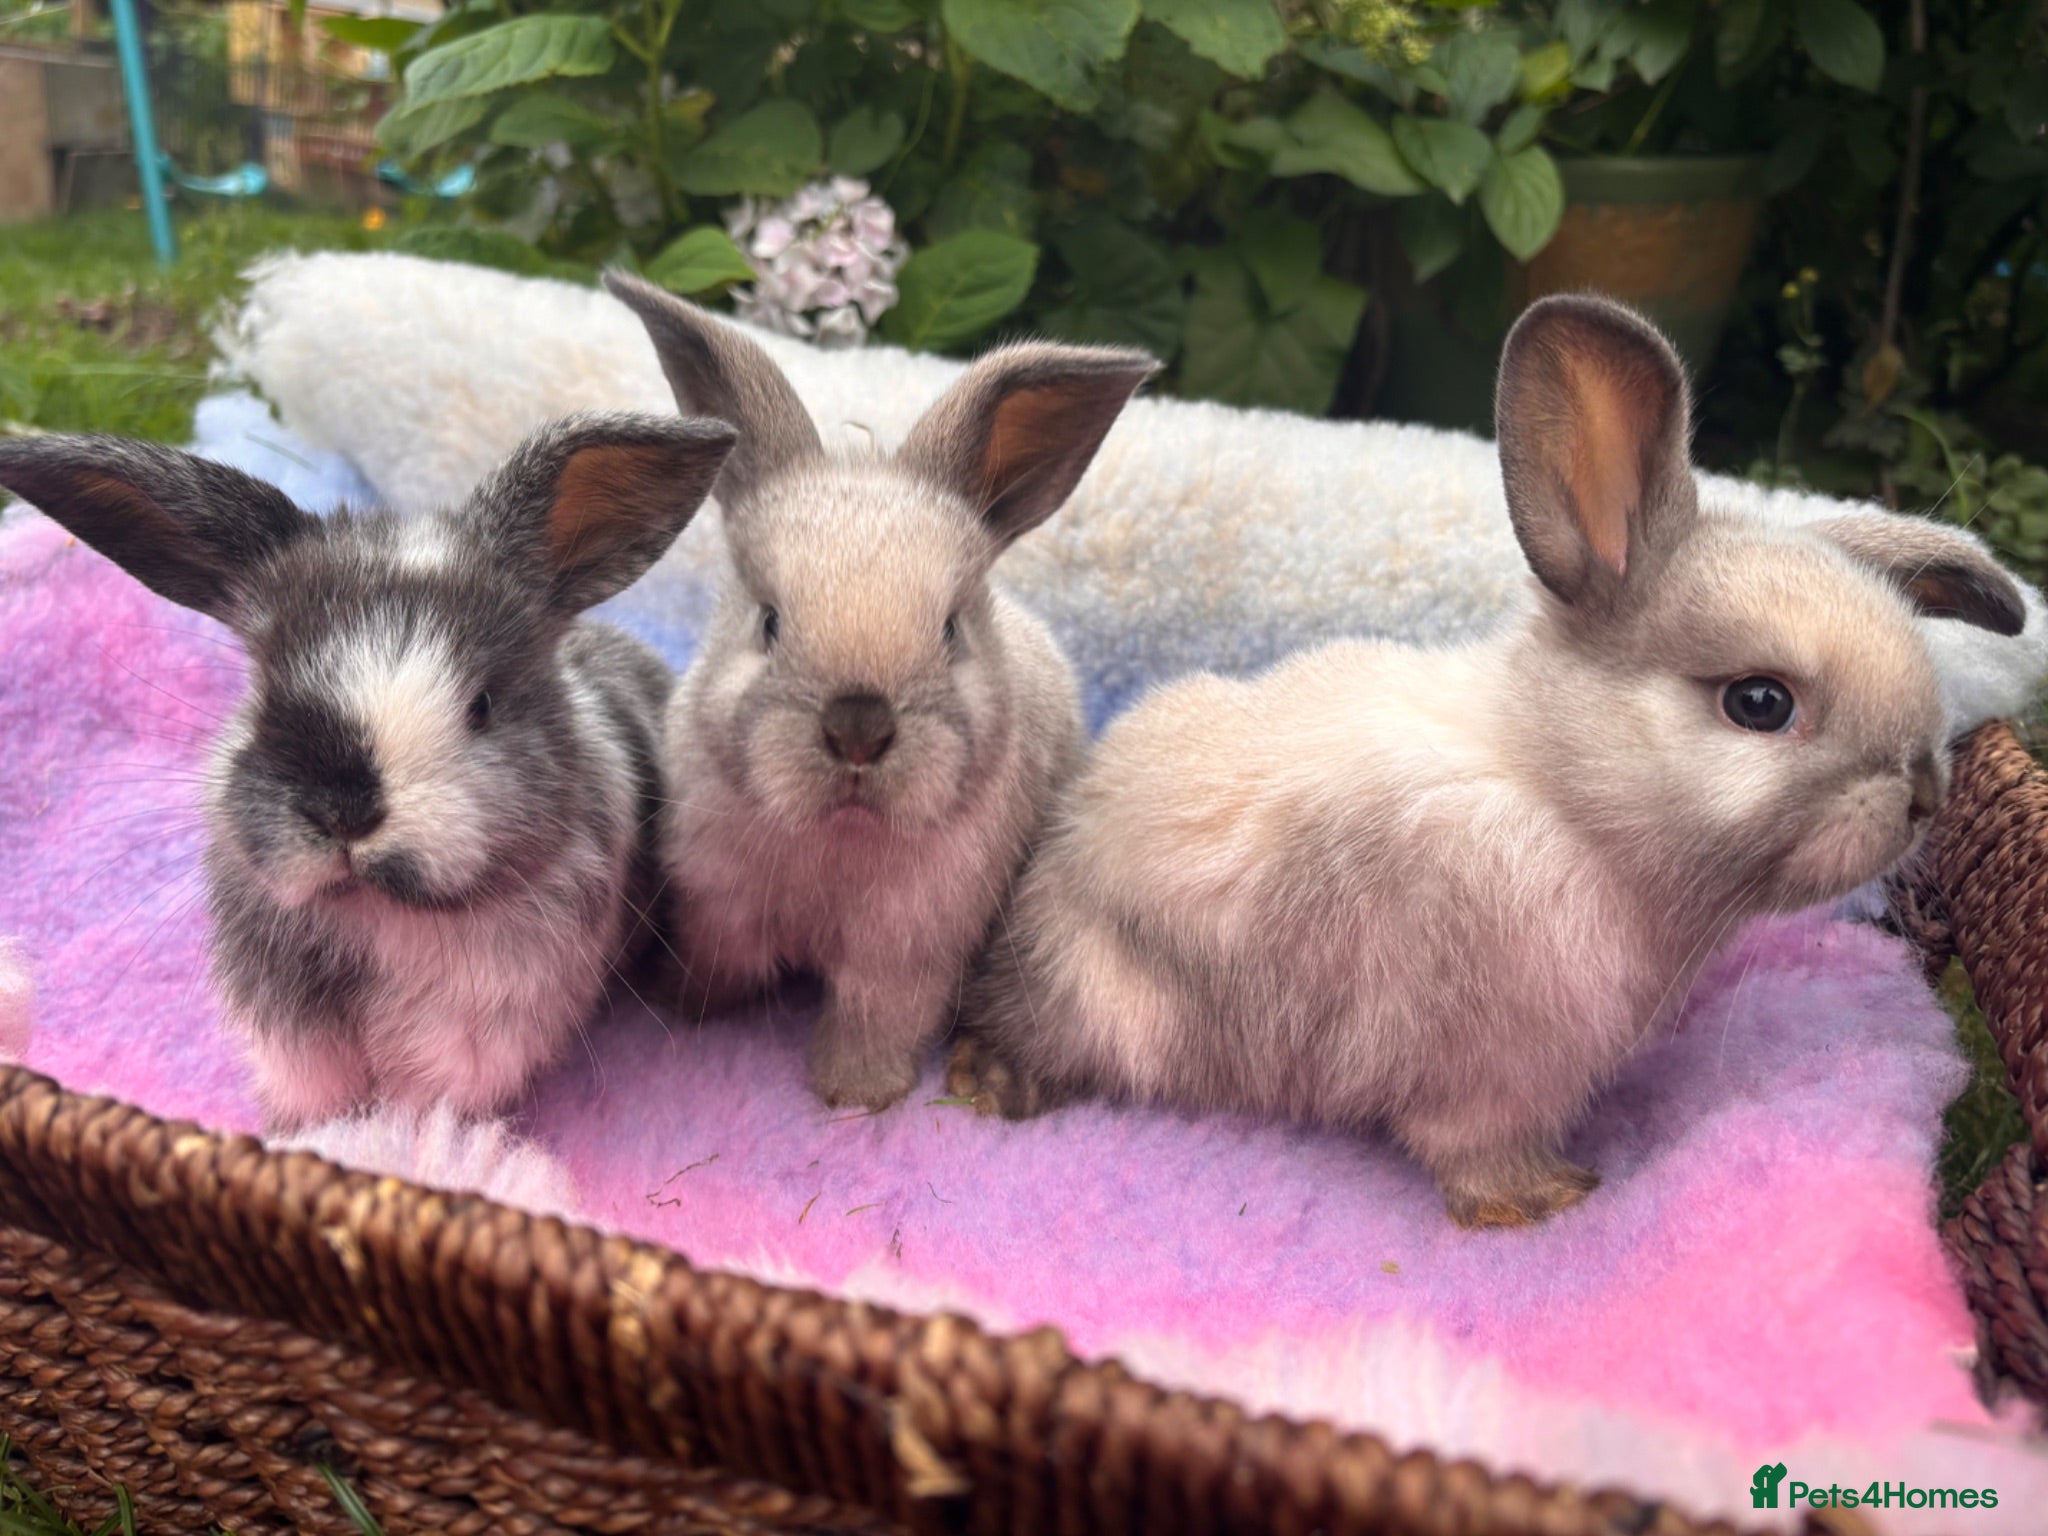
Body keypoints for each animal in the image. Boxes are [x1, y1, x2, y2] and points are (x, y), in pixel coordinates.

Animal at [0, 412, 736, 1129]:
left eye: (482, 705)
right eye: (265, 691)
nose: (343, 812)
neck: (376, 915)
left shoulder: (468, 1040)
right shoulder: (292, 1037)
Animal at [603, 270, 1156, 1111]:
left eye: (951, 631)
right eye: (769, 622)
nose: (858, 729)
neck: (837, 839)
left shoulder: (905, 953)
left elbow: (875, 1019)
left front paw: (855, 1097)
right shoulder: (720, 905)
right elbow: (718, 962)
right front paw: (682, 1003)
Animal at [950, 294, 2028, 1229]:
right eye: (1758, 703)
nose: (1923, 792)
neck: (1567, 803)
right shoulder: (1492, 1074)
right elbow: (1477, 1155)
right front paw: (1547, 1200)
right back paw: (989, 1085)